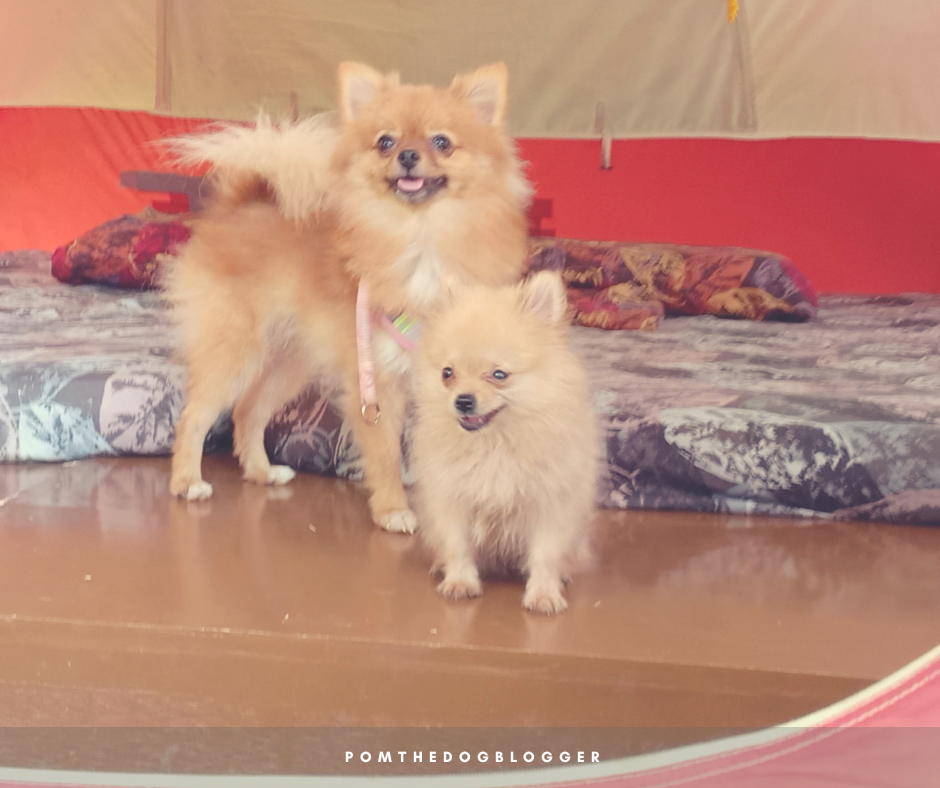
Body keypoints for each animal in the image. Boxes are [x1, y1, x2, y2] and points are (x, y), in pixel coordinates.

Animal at [164, 62, 531, 533]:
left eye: (442, 142)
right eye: (386, 142)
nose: (407, 156)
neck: (421, 236)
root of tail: (239, 205)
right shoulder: (375, 378)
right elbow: (386, 451)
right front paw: (393, 508)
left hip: (288, 362)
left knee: (248, 412)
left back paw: (263, 472)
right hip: (234, 352)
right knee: (194, 416)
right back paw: (187, 481)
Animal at [411, 271, 598, 613]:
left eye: (499, 375)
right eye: (447, 373)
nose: (463, 401)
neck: (494, 444)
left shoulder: (550, 505)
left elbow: (546, 555)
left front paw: (544, 594)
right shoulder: (451, 499)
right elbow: (457, 545)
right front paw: (460, 581)